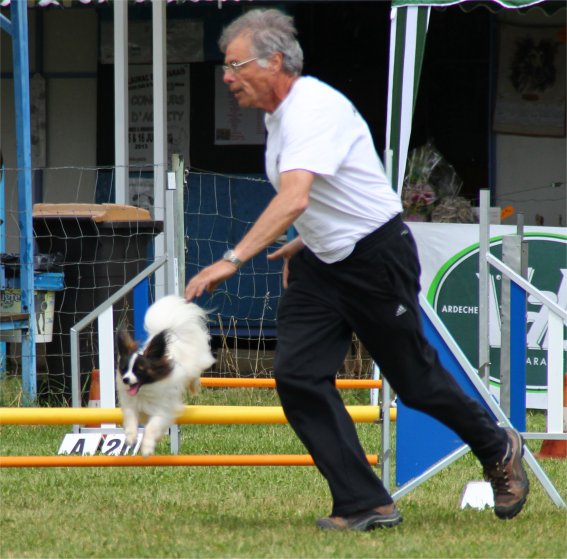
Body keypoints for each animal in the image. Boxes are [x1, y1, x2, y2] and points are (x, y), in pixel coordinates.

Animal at [115, 296, 215, 458]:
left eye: (139, 371)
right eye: (124, 369)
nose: (125, 380)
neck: (146, 390)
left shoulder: (162, 411)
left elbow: (152, 427)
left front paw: (147, 447)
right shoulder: (132, 406)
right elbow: (130, 419)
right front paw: (130, 437)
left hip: (195, 366)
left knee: (194, 377)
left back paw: (194, 387)